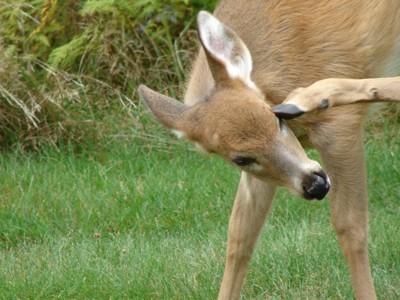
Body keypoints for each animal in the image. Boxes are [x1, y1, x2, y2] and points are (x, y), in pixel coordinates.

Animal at [138, 1, 400, 298]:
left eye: (276, 120)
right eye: (241, 159)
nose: (315, 185)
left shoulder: (341, 126)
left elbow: (350, 227)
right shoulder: (267, 174)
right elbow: (239, 236)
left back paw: (312, 96)